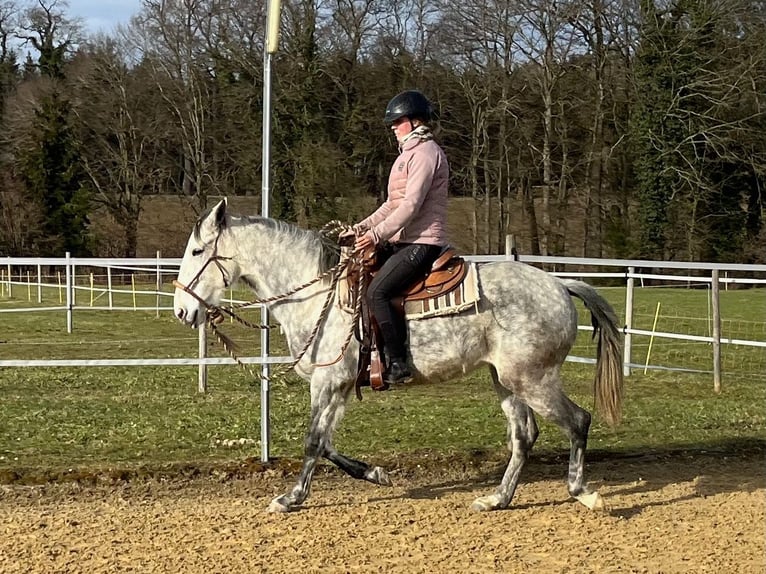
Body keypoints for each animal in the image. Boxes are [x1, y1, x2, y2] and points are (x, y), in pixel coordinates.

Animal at [172, 200, 624, 516]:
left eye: (196, 251)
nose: (181, 310)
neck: (318, 293)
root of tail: (560, 285)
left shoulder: (327, 382)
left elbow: (313, 441)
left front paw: (291, 497)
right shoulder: (337, 386)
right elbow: (328, 443)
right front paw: (375, 473)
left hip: (533, 379)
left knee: (578, 421)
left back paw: (583, 494)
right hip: (507, 380)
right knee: (523, 436)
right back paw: (497, 498)